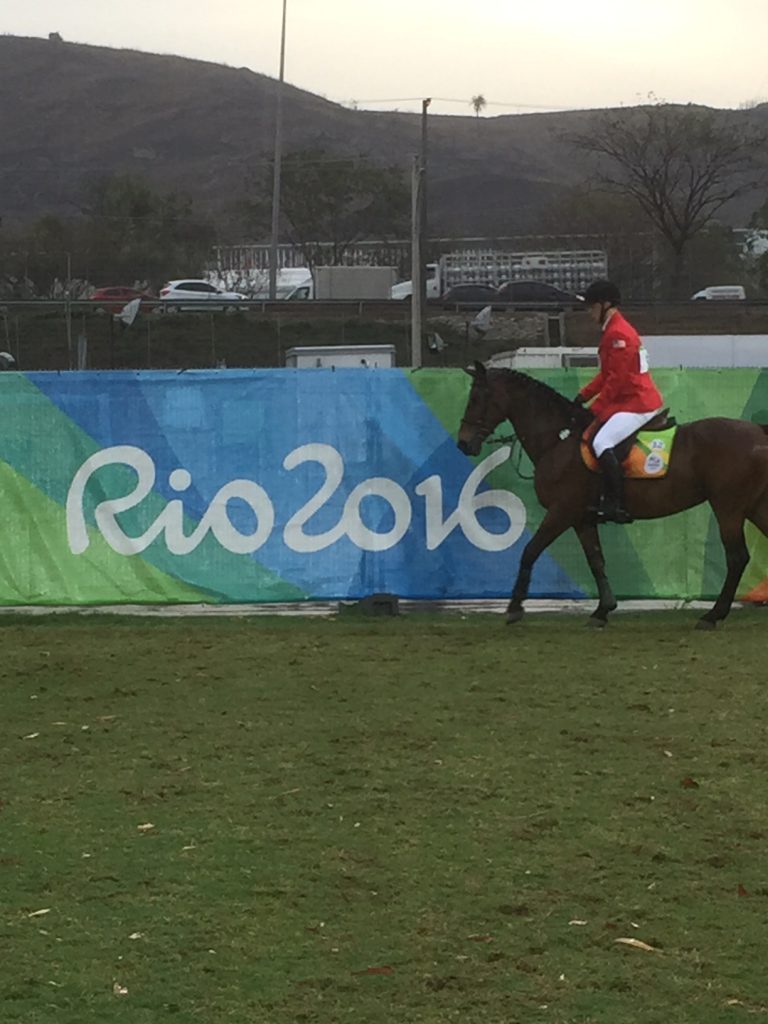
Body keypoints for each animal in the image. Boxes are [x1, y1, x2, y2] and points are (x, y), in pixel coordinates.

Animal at [456, 360, 768, 630]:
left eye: (476, 398)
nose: (463, 443)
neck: (559, 440)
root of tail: (758, 432)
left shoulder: (561, 512)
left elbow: (530, 551)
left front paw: (514, 608)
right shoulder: (581, 519)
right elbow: (596, 560)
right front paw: (602, 610)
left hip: (728, 508)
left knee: (737, 558)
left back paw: (713, 615)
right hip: (753, 507)